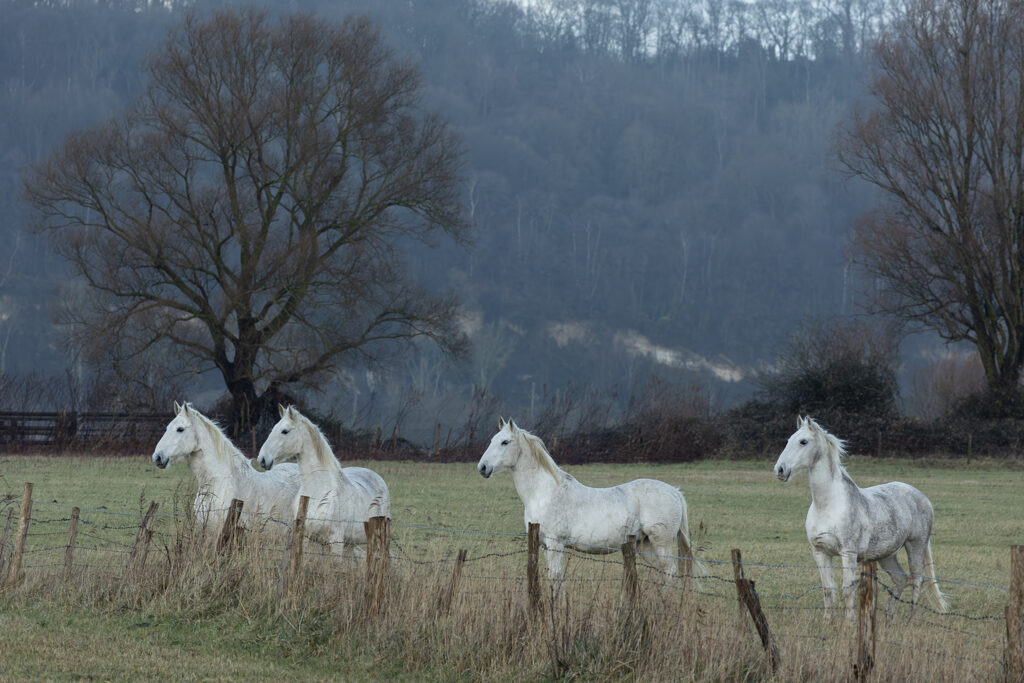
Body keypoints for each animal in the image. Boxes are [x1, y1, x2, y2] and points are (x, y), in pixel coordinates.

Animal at [257, 405, 390, 558]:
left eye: (285, 431)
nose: (262, 459)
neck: (319, 491)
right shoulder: (306, 537)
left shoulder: (336, 542)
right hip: (351, 543)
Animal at [477, 418, 702, 581]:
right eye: (491, 440)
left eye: (505, 442)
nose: (482, 467)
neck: (545, 493)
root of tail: (674, 492)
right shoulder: (543, 545)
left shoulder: (555, 544)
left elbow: (555, 578)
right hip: (646, 546)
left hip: (661, 544)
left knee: (671, 572)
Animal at [773, 416, 948, 619]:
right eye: (788, 440)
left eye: (803, 441)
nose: (780, 470)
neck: (827, 505)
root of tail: (923, 498)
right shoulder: (820, 553)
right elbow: (828, 590)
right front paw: (827, 621)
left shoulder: (848, 553)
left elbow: (847, 590)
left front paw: (849, 622)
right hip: (887, 554)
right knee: (901, 579)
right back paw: (888, 618)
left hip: (915, 546)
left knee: (916, 581)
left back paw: (911, 620)